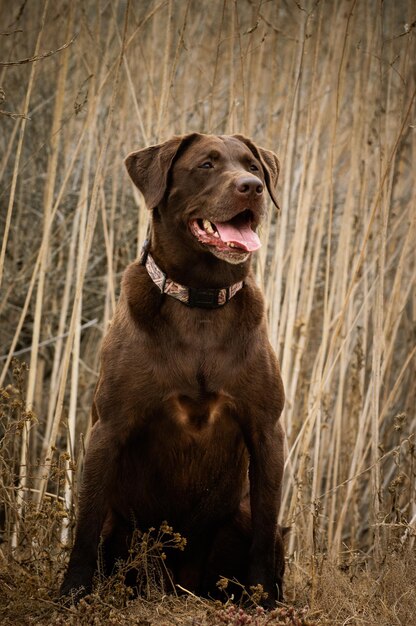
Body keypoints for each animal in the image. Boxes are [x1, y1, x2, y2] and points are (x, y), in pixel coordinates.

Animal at [59, 132, 286, 604]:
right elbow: (86, 525)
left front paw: (261, 602)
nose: (252, 188)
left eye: (253, 166)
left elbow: (263, 531)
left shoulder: (267, 430)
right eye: (206, 165)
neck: (200, 299)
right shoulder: (108, 428)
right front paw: (73, 592)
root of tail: (177, 584)